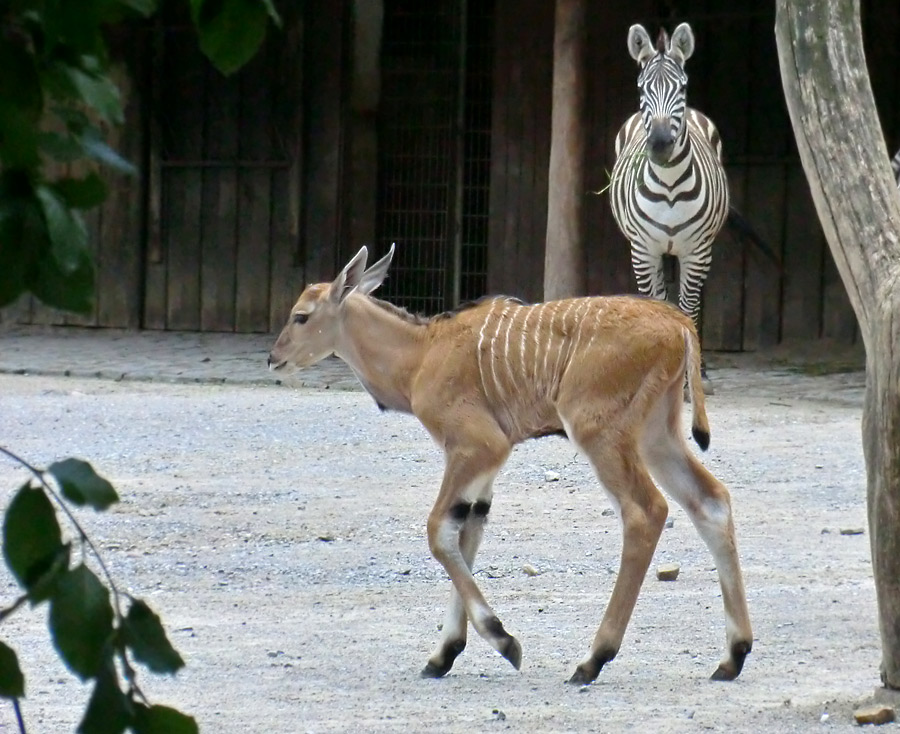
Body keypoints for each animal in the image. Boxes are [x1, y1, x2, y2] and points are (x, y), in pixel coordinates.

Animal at [268, 246, 752, 684]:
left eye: (301, 316)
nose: (274, 358)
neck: (422, 354)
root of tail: (679, 325)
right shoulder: (483, 470)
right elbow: (466, 532)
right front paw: (444, 653)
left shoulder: (477, 447)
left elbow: (438, 531)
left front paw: (502, 640)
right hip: (657, 436)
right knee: (711, 501)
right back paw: (733, 655)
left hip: (599, 434)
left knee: (645, 512)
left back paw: (593, 659)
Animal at [604, 21, 724, 392]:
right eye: (641, 89)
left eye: (682, 87)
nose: (659, 144)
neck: (670, 185)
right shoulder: (644, 250)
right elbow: (657, 304)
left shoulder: (696, 251)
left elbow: (688, 307)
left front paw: (690, 379)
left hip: (703, 249)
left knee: (696, 302)